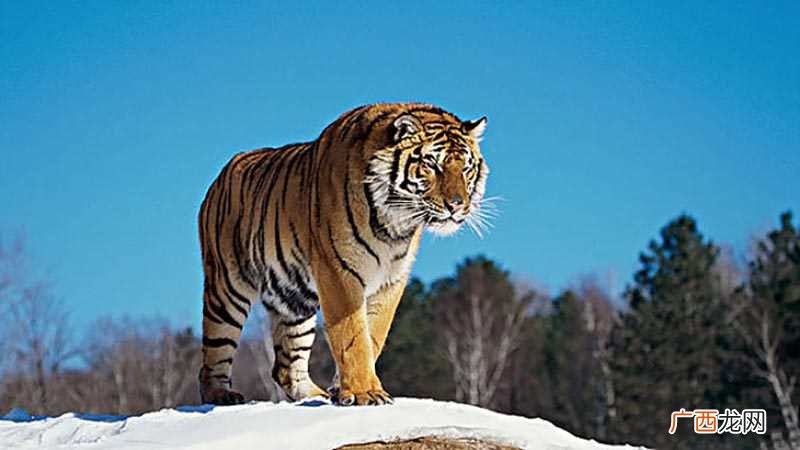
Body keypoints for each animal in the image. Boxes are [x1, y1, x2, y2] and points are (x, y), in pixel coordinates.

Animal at [198, 103, 489, 406]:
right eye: (431, 164)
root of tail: (221, 176)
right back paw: (221, 394)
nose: (457, 206)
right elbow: (352, 336)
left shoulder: (391, 279)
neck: (394, 225)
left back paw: (316, 395)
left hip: (296, 299)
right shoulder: (338, 272)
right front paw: (365, 392)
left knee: (285, 366)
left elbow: (373, 335)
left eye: (466, 168)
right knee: (213, 354)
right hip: (227, 290)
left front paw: (345, 390)